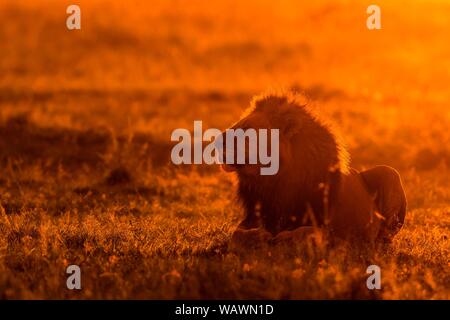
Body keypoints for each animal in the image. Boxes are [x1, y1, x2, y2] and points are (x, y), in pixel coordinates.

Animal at [221, 91, 408, 246]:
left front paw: (283, 237)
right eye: (238, 124)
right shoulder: (254, 213)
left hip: (389, 173)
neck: (273, 180)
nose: (217, 142)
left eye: (248, 130)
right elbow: (236, 234)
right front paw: (259, 235)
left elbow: (307, 231)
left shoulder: (333, 229)